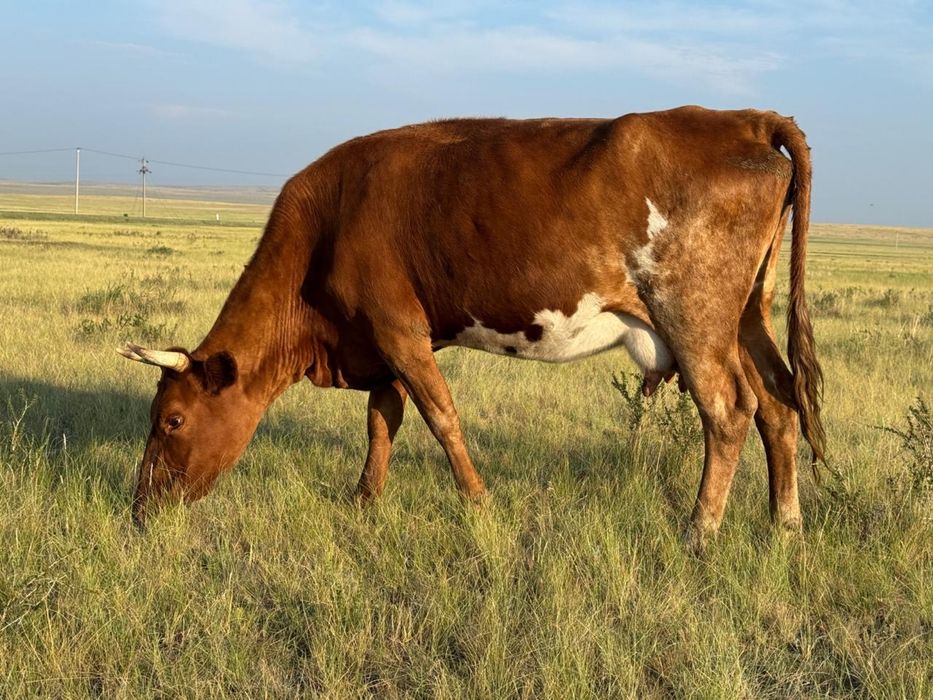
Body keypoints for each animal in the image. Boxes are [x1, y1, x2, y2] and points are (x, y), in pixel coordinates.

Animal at [120, 106, 824, 550]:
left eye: (172, 420)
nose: (139, 509)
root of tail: (742, 118)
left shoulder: (396, 327)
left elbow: (441, 417)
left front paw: (479, 504)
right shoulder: (384, 341)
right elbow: (384, 419)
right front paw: (364, 502)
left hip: (693, 313)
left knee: (728, 411)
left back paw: (700, 531)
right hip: (746, 315)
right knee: (777, 405)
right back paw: (785, 524)